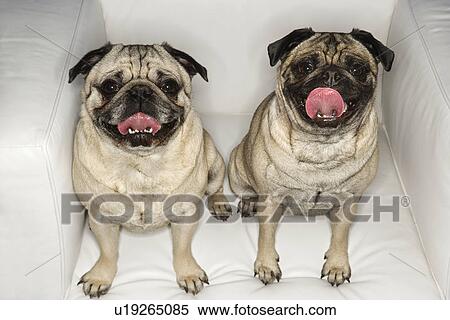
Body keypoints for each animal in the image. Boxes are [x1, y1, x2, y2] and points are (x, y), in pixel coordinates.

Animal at [68, 42, 230, 298]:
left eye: (169, 86)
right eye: (110, 86)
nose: (140, 92)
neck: (140, 161)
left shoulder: (184, 213)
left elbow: (182, 250)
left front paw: (188, 274)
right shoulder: (102, 218)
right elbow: (108, 252)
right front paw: (100, 276)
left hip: (214, 161)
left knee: (215, 187)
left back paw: (219, 203)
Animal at [229, 28, 394, 286]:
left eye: (357, 68)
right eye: (306, 66)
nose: (331, 75)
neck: (321, 143)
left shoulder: (348, 200)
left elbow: (341, 236)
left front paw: (337, 265)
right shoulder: (271, 198)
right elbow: (266, 234)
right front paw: (266, 265)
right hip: (237, 164)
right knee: (246, 189)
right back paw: (248, 201)